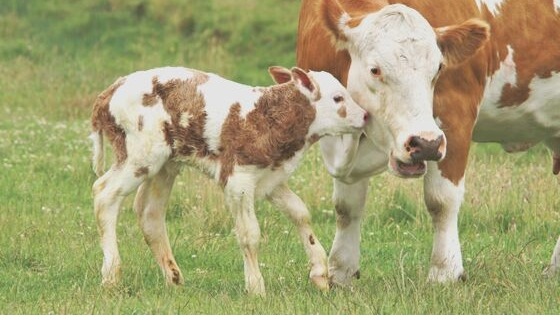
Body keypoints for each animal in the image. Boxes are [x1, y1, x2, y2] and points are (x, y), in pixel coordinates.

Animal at [88, 65, 368, 296]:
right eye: (338, 98)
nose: (365, 115)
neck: (266, 117)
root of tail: (110, 91)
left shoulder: (270, 177)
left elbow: (300, 213)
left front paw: (319, 272)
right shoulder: (238, 179)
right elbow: (249, 233)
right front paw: (256, 287)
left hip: (165, 164)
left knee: (149, 213)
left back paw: (173, 278)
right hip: (140, 155)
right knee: (104, 193)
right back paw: (111, 276)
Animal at [298, 0, 560, 288]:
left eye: (439, 69)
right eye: (375, 70)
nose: (425, 144)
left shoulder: (454, 119)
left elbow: (441, 200)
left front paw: (444, 272)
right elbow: (346, 206)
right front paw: (341, 272)